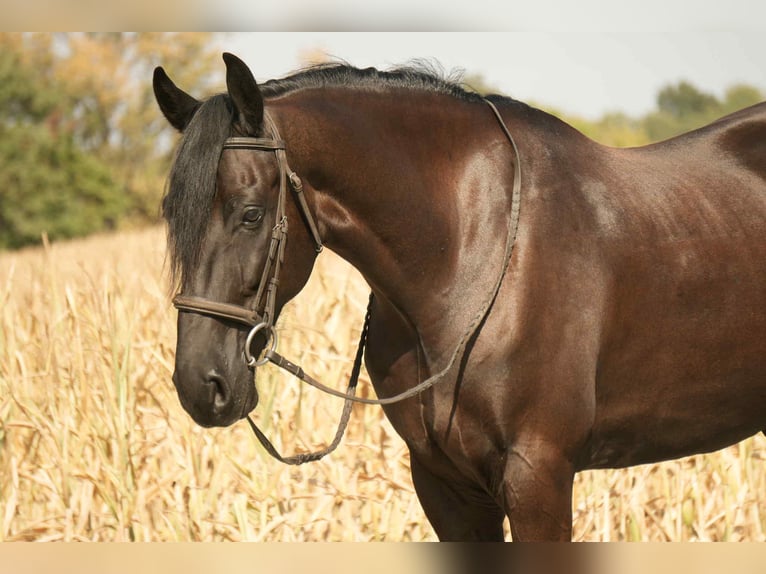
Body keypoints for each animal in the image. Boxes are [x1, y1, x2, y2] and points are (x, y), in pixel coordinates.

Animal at [152, 52, 766, 541]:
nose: (200, 385)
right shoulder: (444, 484)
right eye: (172, 216)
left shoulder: (537, 476)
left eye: (251, 214)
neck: (471, 254)